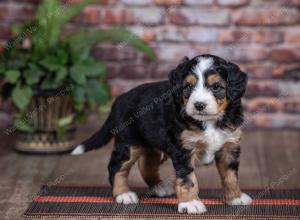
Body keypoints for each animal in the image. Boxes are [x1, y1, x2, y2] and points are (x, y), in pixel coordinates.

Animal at [71, 54, 252, 214]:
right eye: (188, 86)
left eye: (216, 87)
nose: (199, 105)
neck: (209, 122)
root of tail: (120, 99)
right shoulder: (183, 150)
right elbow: (188, 179)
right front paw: (191, 203)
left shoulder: (229, 146)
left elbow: (230, 175)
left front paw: (235, 197)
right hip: (129, 143)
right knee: (116, 166)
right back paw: (123, 194)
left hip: (153, 145)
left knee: (146, 165)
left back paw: (159, 187)